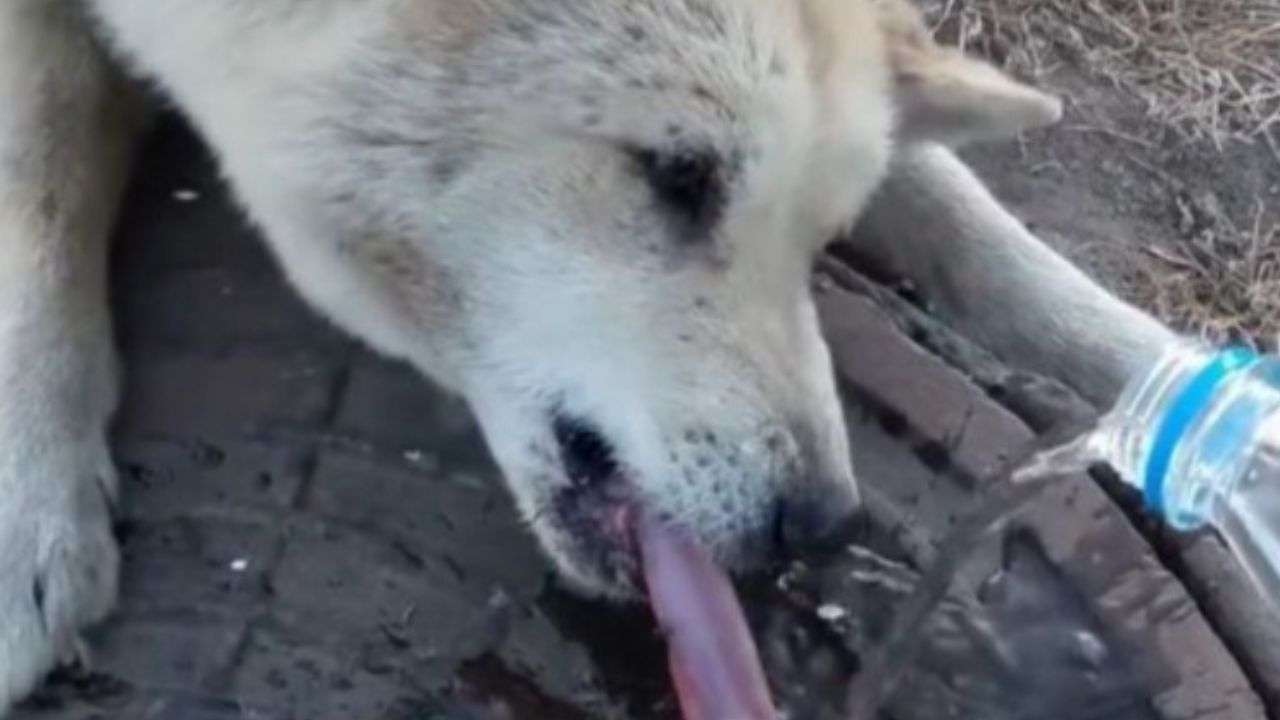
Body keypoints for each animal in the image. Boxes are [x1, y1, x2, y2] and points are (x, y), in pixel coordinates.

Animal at [0, 0, 1177, 707]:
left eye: (818, 237)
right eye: (679, 174)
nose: (820, 524)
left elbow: (977, 234)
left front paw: (1164, 377)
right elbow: (36, 182)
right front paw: (29, 512)